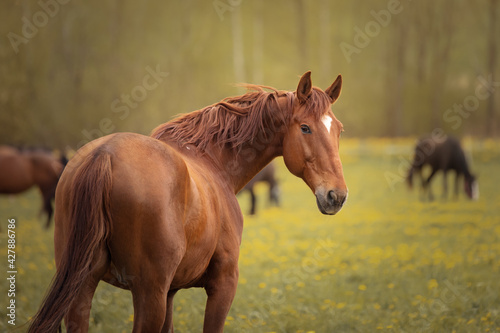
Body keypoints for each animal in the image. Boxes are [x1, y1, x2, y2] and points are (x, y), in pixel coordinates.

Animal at [27, 70, 348, 332]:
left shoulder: (171, 292)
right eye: (305, 128)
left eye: (338, 129)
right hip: (148, 295)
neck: (213, 163)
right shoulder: (223, 284)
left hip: (83, 286)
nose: (337, 195)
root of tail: (104, 154)